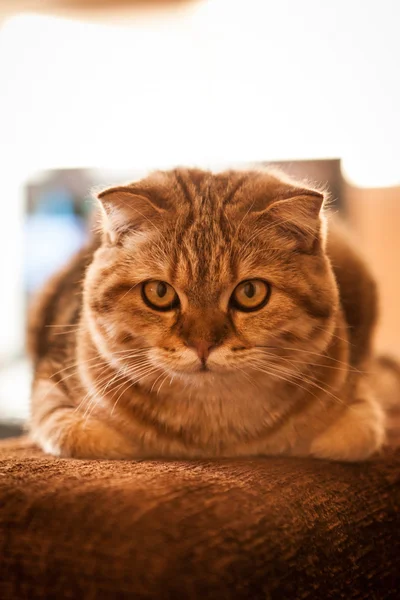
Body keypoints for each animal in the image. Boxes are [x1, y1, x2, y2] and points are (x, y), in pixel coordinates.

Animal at [27, 166, 396, 462]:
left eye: (250, 293)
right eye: (159, 293)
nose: (202, 345)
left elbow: (352, 436)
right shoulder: (49, 389)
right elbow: (84, 435)